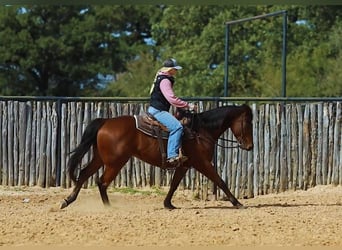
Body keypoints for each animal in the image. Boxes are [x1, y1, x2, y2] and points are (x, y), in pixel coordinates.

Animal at [60, 103, 254, 209]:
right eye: (248, 123)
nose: (250, 146)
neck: (200, 130)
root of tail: (105, 122)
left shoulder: (184, 165)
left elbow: (174, 184)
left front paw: (168, 204)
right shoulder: (202, 163)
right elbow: (220, 181)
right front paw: (237, 203)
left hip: (100, 158)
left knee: (84, 173)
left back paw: (68, 200)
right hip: (115, 162)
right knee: (102, 182)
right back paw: (108, 207)